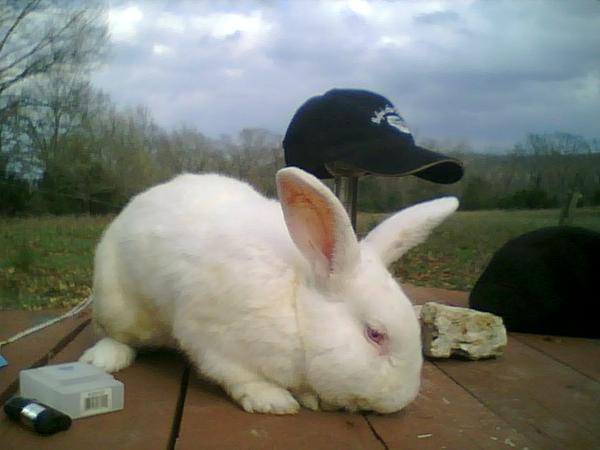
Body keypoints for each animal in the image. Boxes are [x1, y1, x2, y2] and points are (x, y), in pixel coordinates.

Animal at [79, 167, 458, 414]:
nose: (401, 399)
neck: (297, 309)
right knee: (118, 335)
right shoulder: (212, 339)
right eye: (375, 334)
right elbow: (238, 376)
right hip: (117, 303)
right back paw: (105, 359)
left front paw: (309, 398)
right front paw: (274, 401)